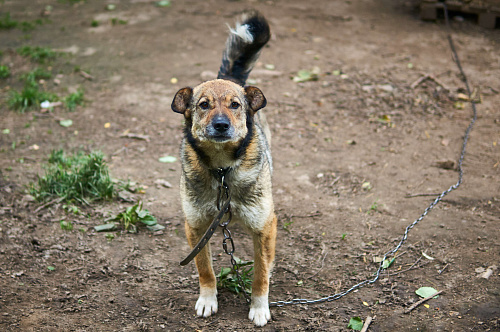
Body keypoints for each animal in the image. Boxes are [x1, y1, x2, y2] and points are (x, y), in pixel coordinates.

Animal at [172, 11, 278, 326]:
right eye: (204, 105)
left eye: (235, 105)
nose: (221, 125)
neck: (222, 171)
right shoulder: (195, 226)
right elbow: (204, 269)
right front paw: (208, 299)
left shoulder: (264, 227)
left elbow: (261, 274)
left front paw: (259, 307)